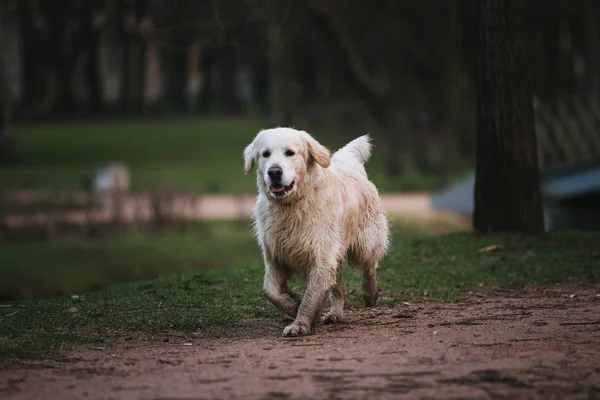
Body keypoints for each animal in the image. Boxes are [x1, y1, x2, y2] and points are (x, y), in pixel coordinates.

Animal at [244, 127, 390, 334]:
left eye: (290, 152)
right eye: (265, 154)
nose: (274, 172)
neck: (292, 206)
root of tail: (351, 166)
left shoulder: (320, 257)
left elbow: (311, 297)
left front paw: (299, 324)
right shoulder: (276, 256)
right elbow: (269, 291)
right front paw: (292, 306)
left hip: (365, 243)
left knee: (369, 268)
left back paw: (371, 294)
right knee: (339, 287)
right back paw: (335, 314)